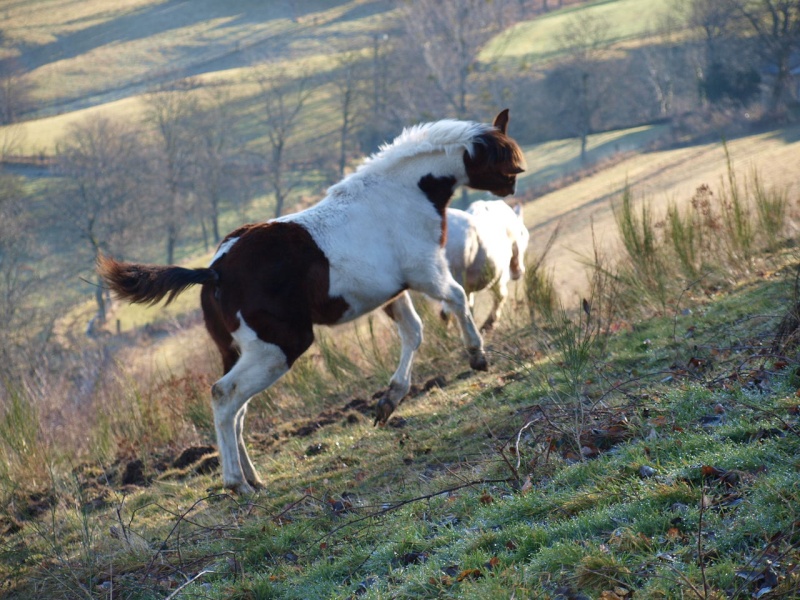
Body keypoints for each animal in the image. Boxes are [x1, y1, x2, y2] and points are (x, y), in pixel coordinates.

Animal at [97, 110, 524, 494]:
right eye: (503, 159)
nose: (514, 185)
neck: (400, 194)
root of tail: (214, 270)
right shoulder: (426, 272)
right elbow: (457, 300)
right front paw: (477, 355)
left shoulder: (394, 292)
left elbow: (414, 333)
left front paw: (389, 401)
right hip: (280, 348)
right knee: (224, 396)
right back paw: (237, 483)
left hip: (239, 351)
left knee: (238, 411)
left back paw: (254, 478)